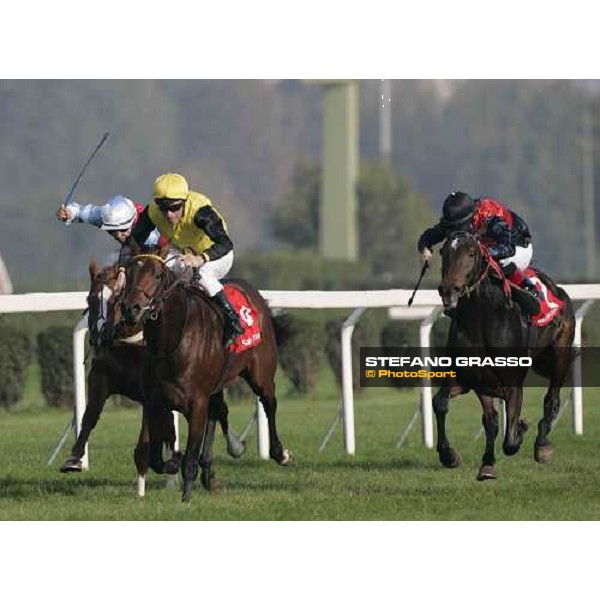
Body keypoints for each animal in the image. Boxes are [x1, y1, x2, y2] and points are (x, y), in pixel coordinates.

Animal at [59, 258, 246, 496]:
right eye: (90, 299)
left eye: (115, 300)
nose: (99, 337)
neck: (126, 345)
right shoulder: (102, 378)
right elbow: (90, 416)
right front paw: (74, 459)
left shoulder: (150, 393)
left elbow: (152, 438)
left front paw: (169, 465)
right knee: (215, 410)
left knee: (217, 410)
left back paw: (227, 452)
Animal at [117, 243, 292, 502]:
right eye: (127, 273)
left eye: (157, 274)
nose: (131, 309)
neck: (171, 341)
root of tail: (255, 295)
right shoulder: (155, 402)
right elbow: (155, 458)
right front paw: (174, 462)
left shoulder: (196, 402)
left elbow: (189, 456)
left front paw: (186, 497)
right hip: (216, 385)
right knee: (218, 411)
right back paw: (213, 466)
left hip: (261, 374)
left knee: (269, 403)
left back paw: (279, 453)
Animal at [434, 232, 576, 480]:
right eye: (443, 252)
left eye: (471, 253)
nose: (448, 290)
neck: (481, 320)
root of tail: (559, 291)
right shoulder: (473, 380)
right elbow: (446, 406)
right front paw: (453, 456)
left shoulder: (512, 384)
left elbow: (509, 440)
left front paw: (520, 429)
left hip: (561, 355)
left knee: (552, 400)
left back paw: (542, 445)